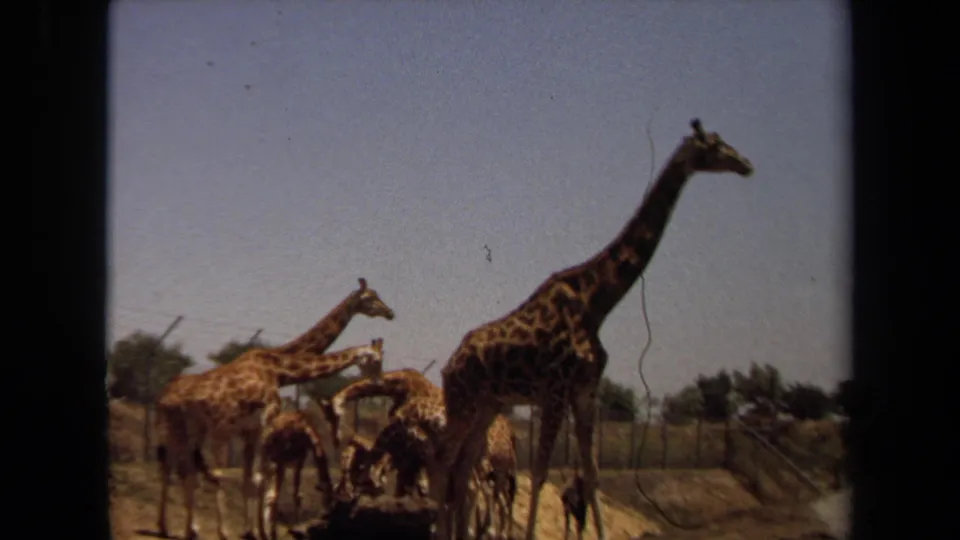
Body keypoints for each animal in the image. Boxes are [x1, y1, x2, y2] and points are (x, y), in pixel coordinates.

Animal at [256, 410, 335, 540]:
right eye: (329, 498)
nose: (327, 515)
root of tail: (269, 435)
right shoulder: (300, 460)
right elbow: (297, 494)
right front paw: (298, 527)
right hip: (279, 463)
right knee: (273, 497)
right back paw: (273, 535)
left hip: (265, 461)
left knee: (262, 493)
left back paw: (263, 533)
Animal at [428, 118, 755, 540]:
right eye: (714, 145)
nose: (746, 164)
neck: (596, 304)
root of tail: (448, 365)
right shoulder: (554, 390)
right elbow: (540, 472)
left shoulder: (585, 390)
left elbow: (593, 472)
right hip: (464, 400)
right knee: (443, 463)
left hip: (488, 404)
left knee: (462, 467)